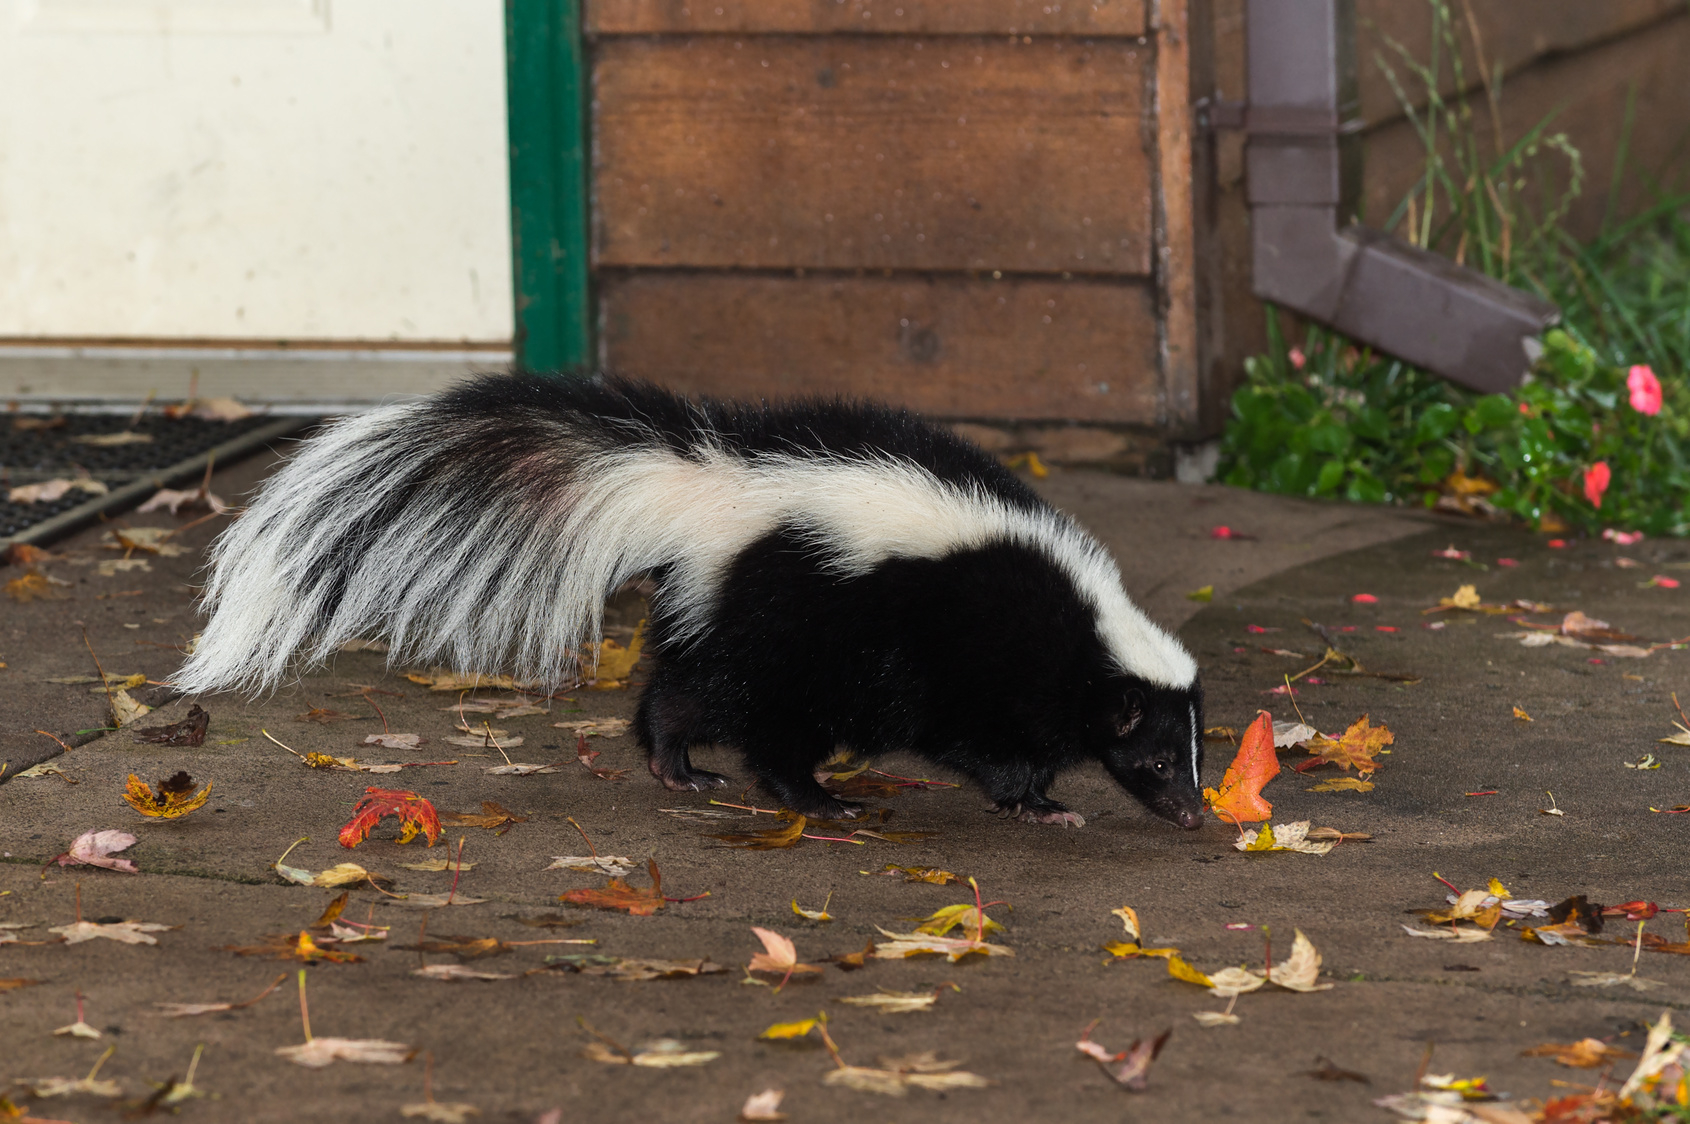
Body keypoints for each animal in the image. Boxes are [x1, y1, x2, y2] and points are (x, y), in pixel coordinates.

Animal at [178, 375, 1210, 824]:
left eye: (1194, 756)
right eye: (1159, 760)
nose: (1197, 815)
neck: (1088, 629)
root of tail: (712, 486)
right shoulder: (982, 661)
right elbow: (991, 747)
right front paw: (1041, 803)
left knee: (687, 689)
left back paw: (692, 769)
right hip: (795, 628)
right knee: (747, 716)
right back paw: (790, 791)